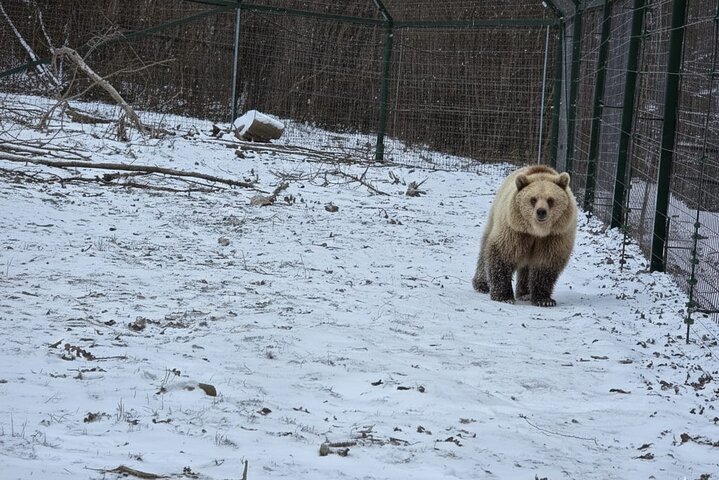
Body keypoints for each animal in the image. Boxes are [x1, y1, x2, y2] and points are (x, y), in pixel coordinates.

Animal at [472, 165, 577, 307]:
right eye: (533, 199)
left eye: (550, 200)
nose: (541, 212)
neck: (537, 232)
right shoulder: (515, 231)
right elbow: (503, 254)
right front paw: (503, 296)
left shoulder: (555, 236)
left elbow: (546, 263)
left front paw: (544, 300)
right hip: (496, 215)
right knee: (484, 249)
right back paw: (481, 284)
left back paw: (525, 293)